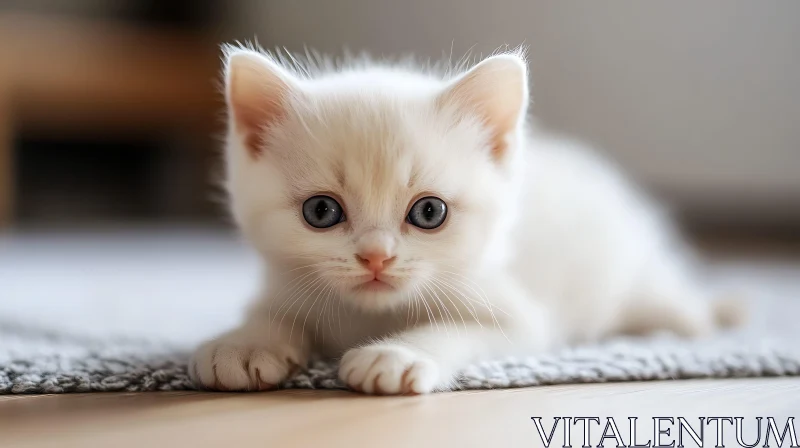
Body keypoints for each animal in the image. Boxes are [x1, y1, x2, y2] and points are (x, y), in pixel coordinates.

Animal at [189, 45, 744, 394]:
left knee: (670, 299)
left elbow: (456, 331)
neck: (371, 315)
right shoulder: (284, 283)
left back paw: (712, 314)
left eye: (429, 212)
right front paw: (243, 343)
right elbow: (273, 312)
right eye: (321, 212)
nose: (376, 257)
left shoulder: (519, 317)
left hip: (633, 273)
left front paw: (397, 355)